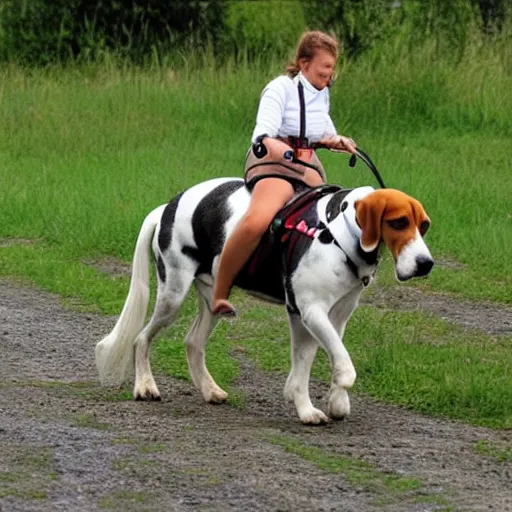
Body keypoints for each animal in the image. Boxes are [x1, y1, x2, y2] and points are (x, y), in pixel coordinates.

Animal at [95, 178, 432, 426]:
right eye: (399, 222)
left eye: (424, 225)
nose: (425, 264)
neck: (337, 233)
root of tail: (169, 205)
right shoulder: (310, 311)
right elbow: (342, 368)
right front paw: (313, 406)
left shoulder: (332, 316)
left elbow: (318, 361)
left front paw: (327, 403)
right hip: (172, 296)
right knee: (141, 338)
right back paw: (145, 387)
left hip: (213, 300)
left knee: (192, 342)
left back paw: (210, 390)